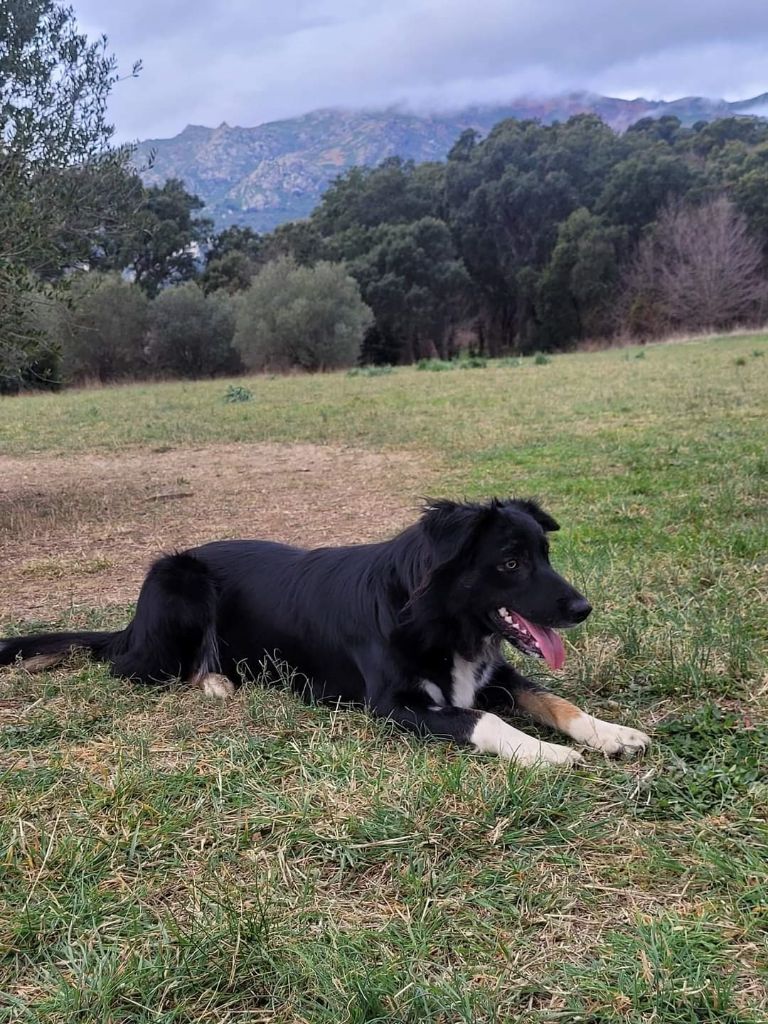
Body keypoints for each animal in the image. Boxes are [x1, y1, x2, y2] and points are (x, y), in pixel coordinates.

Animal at [0, 499, 651, 765]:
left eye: (545, 553)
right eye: (511, 562)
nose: (583, 608)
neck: (433, 615)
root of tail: (130, 625)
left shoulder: (496, 674)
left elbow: (554, 700)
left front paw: (611, 733)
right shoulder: (393, 705)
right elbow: (486, 719)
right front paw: (548, 753)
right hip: (178, 583)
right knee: (133, 670)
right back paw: (214, 682)